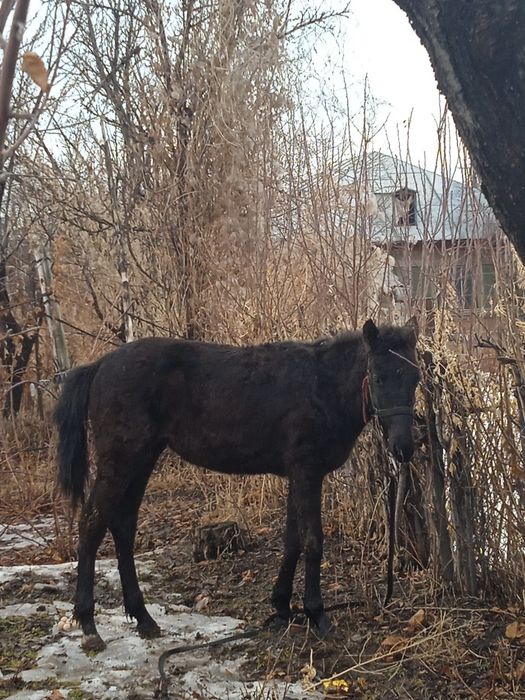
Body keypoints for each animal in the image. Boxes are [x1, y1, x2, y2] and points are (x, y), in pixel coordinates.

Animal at [54, 318, 420, 650]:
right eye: (378, 377)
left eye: (415, 379)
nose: (404, 448)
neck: (322, 385)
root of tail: (100, 366)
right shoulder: (307, 473)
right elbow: (312, 541)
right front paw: (317, 613)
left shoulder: (297, 475)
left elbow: (292, 541)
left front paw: (282, 607)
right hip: (120, 463)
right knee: (91, 525)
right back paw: (88, 625)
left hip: (141, 461)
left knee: (123, 527)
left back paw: (143, 617)